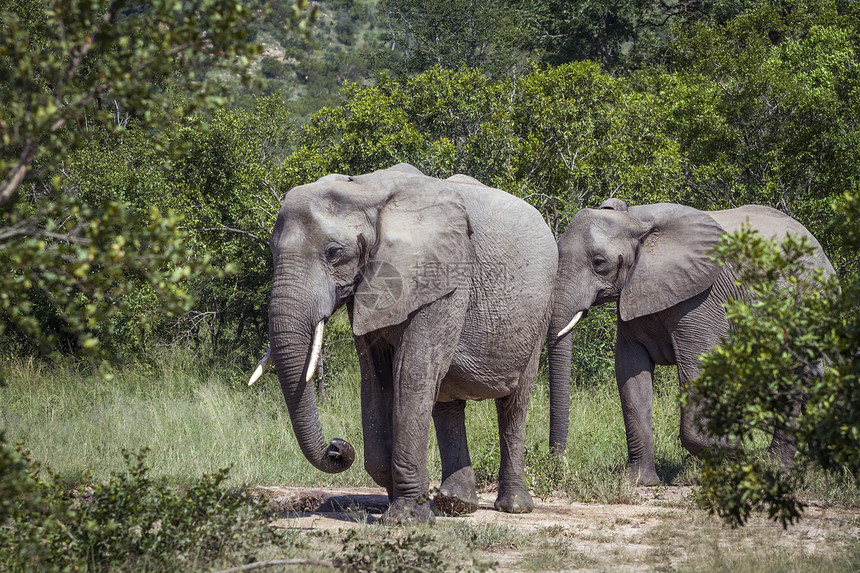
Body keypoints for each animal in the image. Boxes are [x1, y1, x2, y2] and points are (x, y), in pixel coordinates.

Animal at [249, 163, 556, 520]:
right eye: (272, 250)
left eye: (334, 253)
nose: (338, 447)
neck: (367, 191)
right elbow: (376, 378)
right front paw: (401, 499)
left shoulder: (444, 278)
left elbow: (411, 373)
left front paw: (404, 518)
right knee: (447, 401)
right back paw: (456, 505)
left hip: (540, 312)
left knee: (513, 406)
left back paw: (513, 507)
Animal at [548, 199, 836, 484]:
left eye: (599, 262)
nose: (560, 463)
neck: (636, 220)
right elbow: (630, 371)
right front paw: (640, 482)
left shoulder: (700, 299)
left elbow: (697, 366)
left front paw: (734, 451)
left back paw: (775, 470)